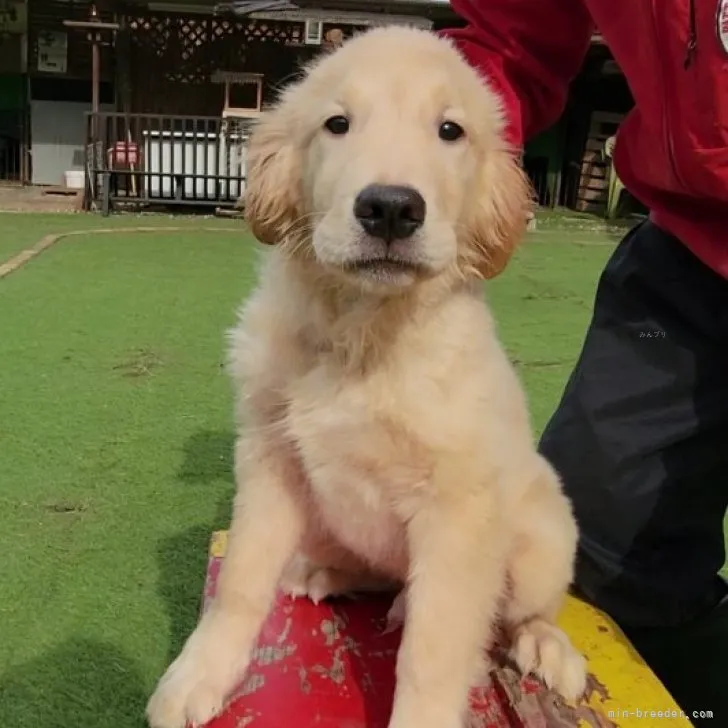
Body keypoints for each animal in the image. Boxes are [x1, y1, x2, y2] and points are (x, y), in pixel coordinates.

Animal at [145, 24, 588, 728]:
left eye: (450, 131)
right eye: (338, 124)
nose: (390, 208)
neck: (362, 332)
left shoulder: (457, 510)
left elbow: (433, 652)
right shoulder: (269, 456)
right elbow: (239, 580)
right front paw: (196, 675)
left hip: (543, 534)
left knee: (526, 607)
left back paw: (545, 644)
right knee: (377, 571)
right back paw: (325, 573)